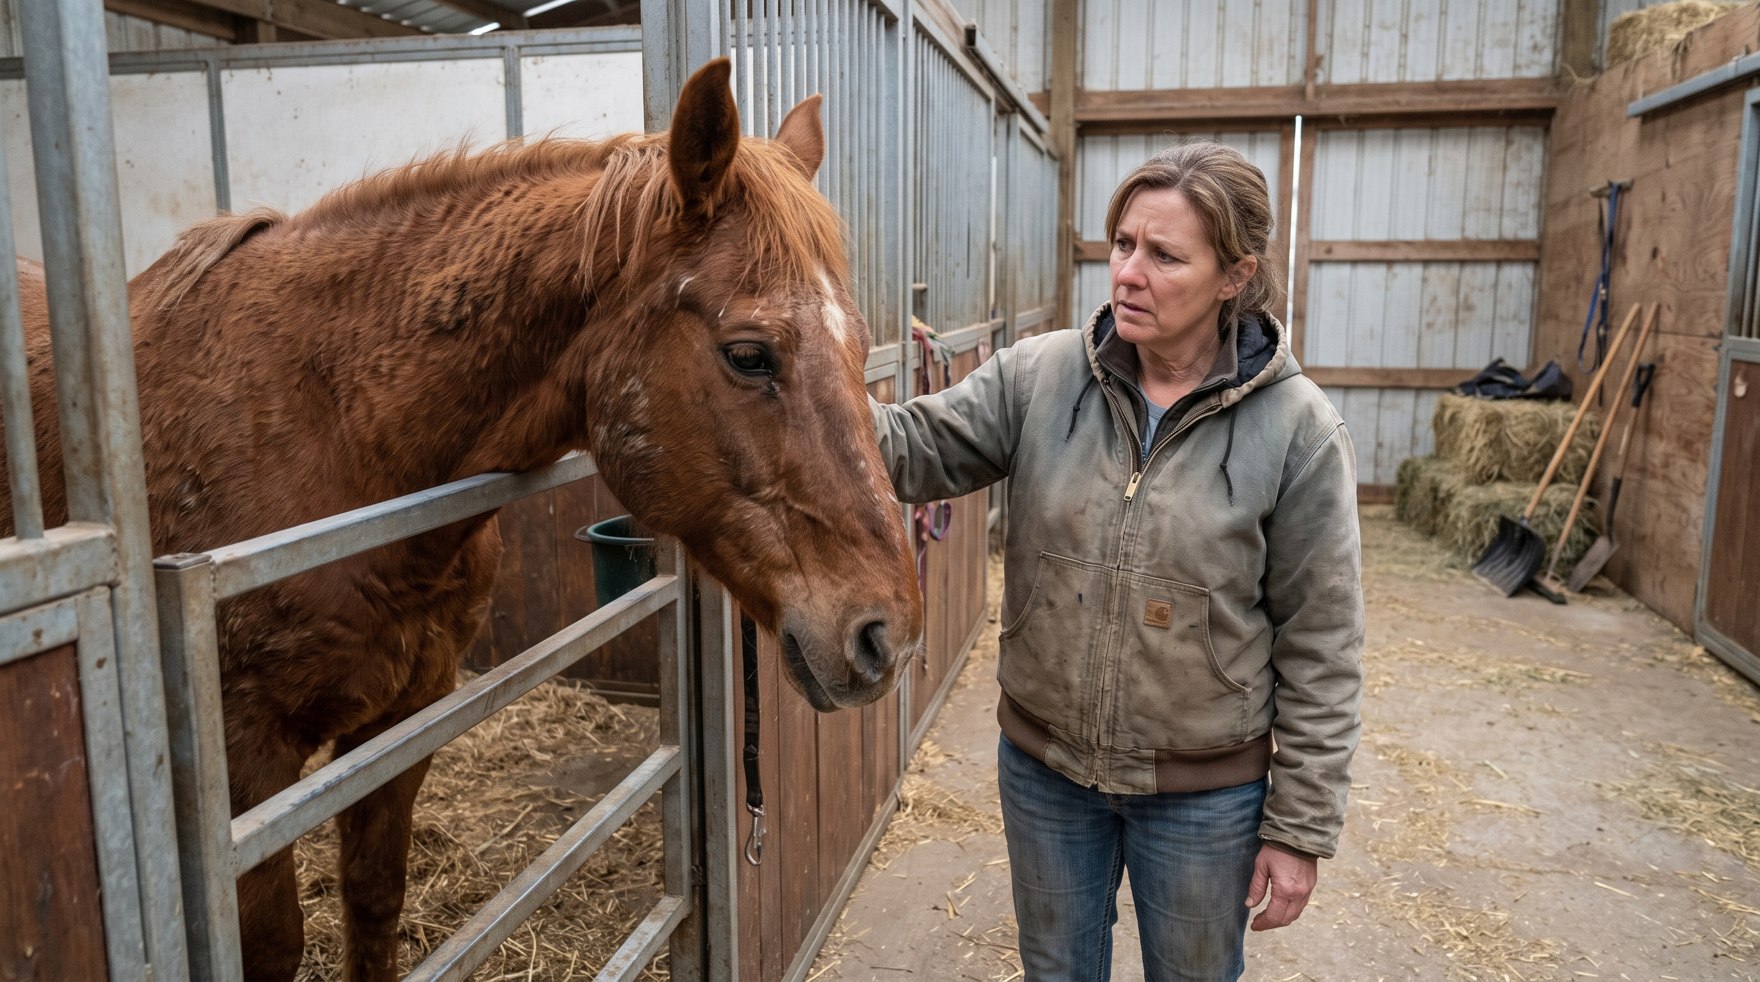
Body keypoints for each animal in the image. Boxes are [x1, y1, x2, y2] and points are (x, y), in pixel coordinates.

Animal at [3, 58, 922, 981]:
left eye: (860, 344)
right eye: (749, 356)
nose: (889, 634)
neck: (332, 431)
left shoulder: (406, 715)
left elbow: (375, 896)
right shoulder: (243, 764)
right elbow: (273, 944)